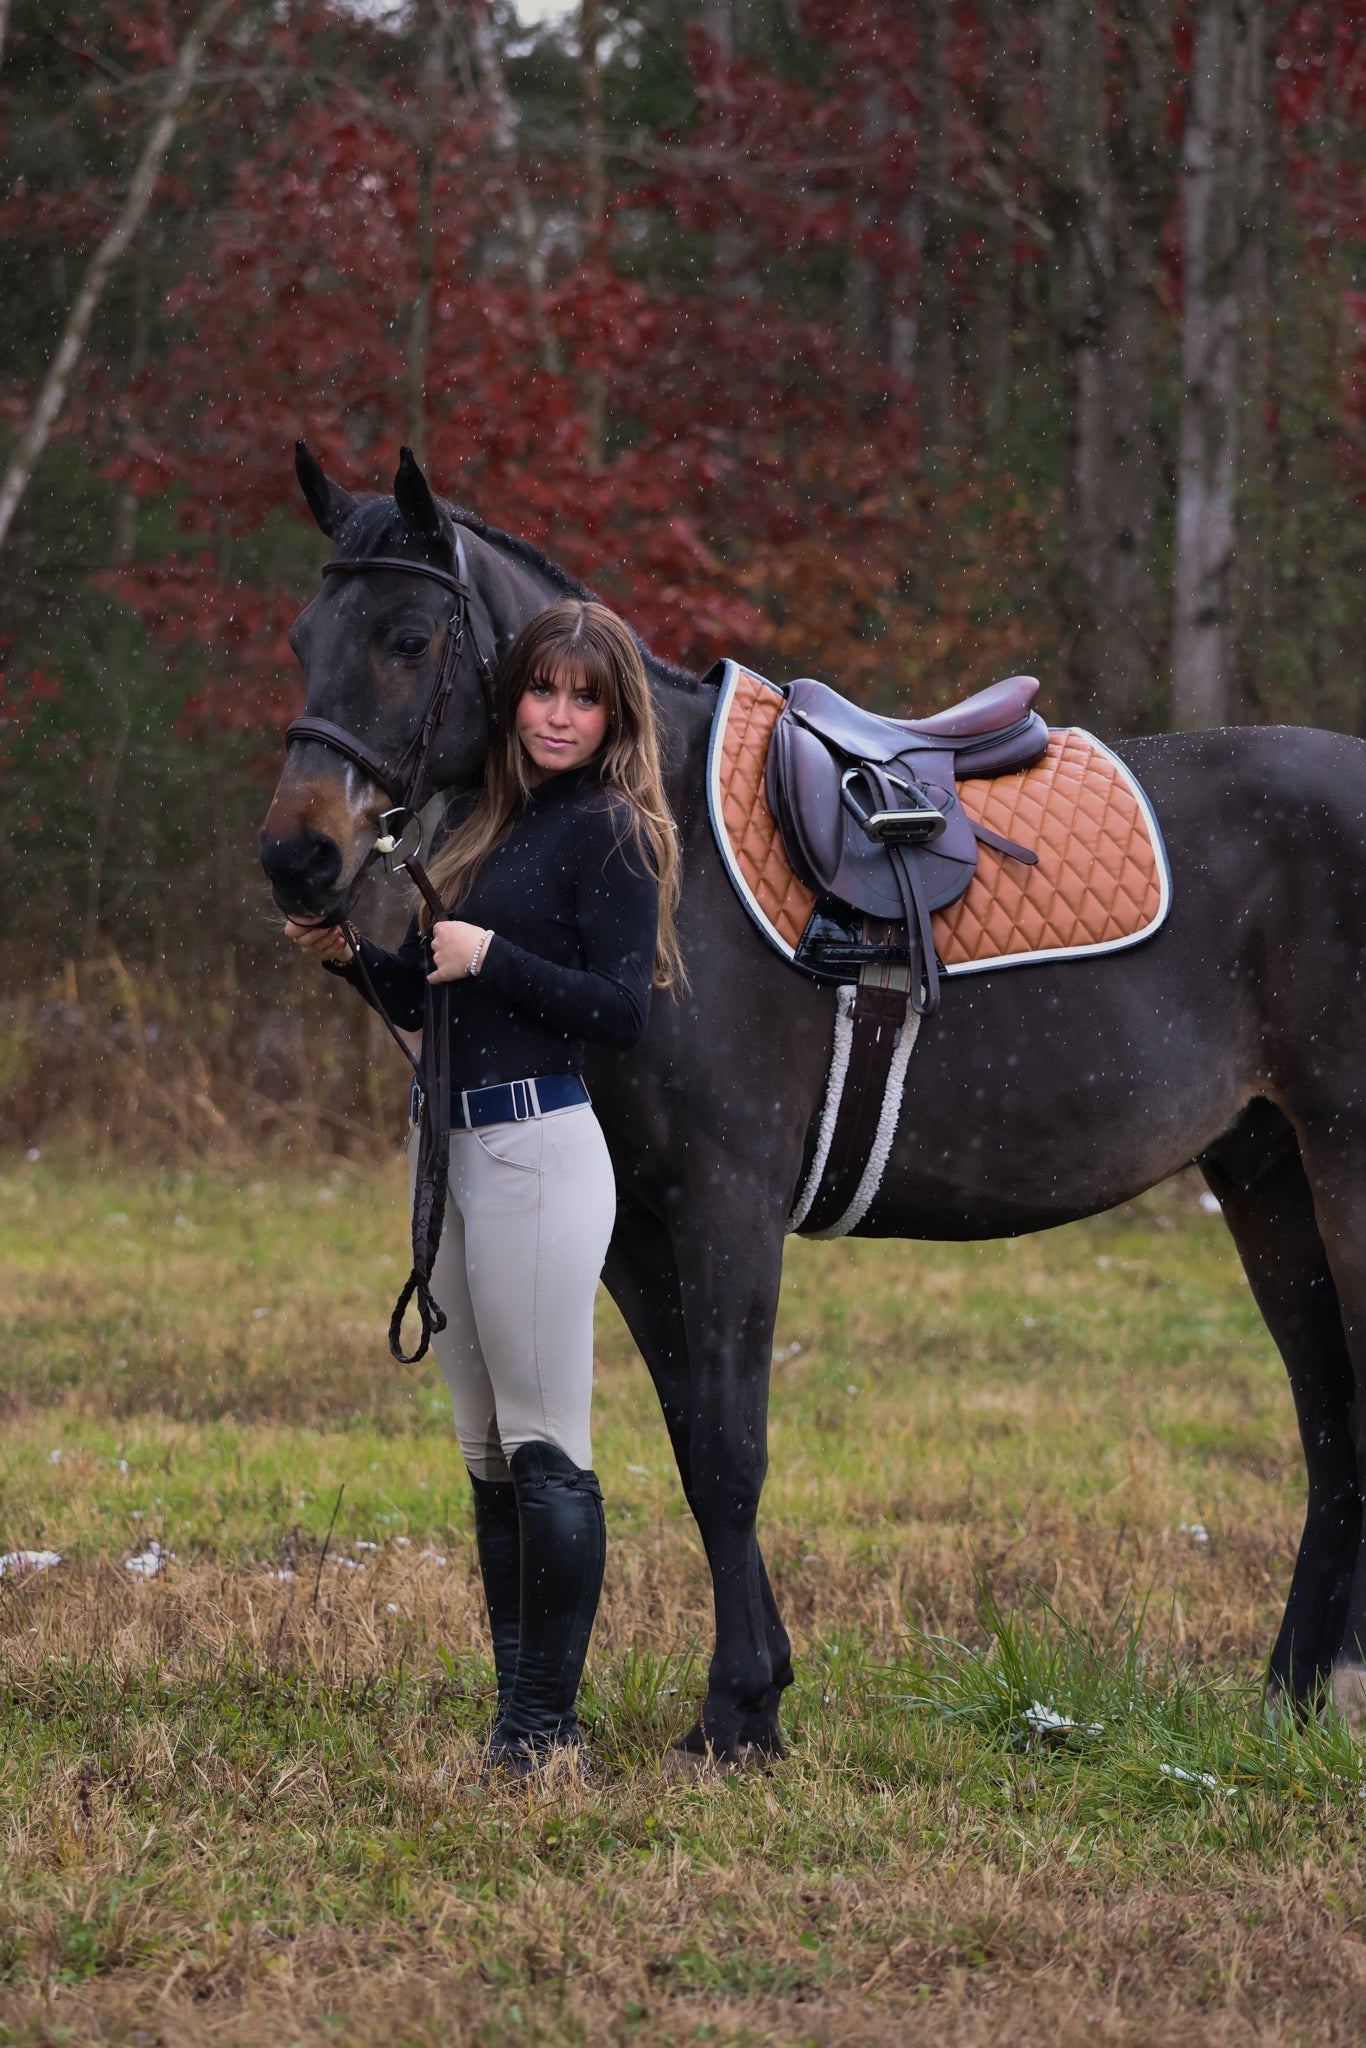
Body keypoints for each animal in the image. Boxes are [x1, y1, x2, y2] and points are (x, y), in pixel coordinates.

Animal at [262, 444, 1366, 1760]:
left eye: (410, 637)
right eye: (303, 637)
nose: (297, 857)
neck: (665, 852)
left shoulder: (727, 1203)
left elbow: (732, 1451)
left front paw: (739, 1711)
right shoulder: (633, 1225)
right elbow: (692, 1441)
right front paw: (753, 1690)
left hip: (1342, 1167)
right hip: (1267, 1176)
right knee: (1329, 1427)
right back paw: (1291, 1693)